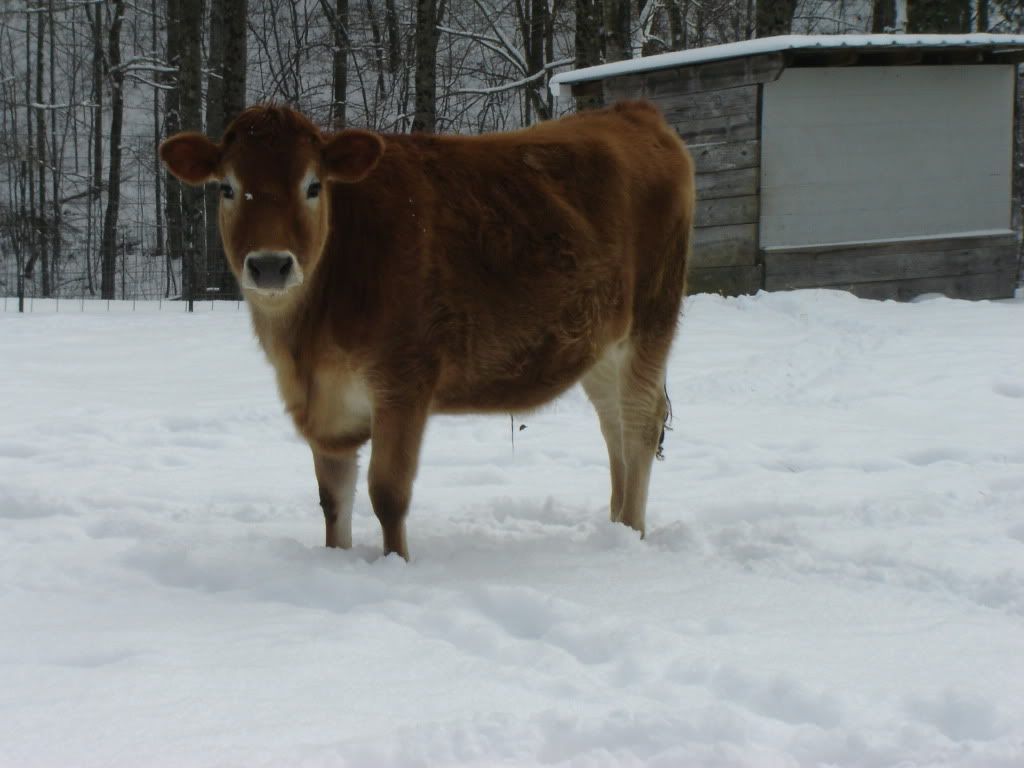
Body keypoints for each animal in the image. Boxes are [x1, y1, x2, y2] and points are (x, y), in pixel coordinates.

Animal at [159, 100, 694, 559]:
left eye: (313, 186)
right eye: (227, 188)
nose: (270, 265)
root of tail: (631, 111)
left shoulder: (404, 380)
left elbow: (387, 493)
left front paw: (396, 564)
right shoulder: (328, 409)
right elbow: (333, 498)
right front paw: (337, 560)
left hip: (652, 320)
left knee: (640, 419)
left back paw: (633, 533)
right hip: (601, 344)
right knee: (612, 423)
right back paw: (616, 526)